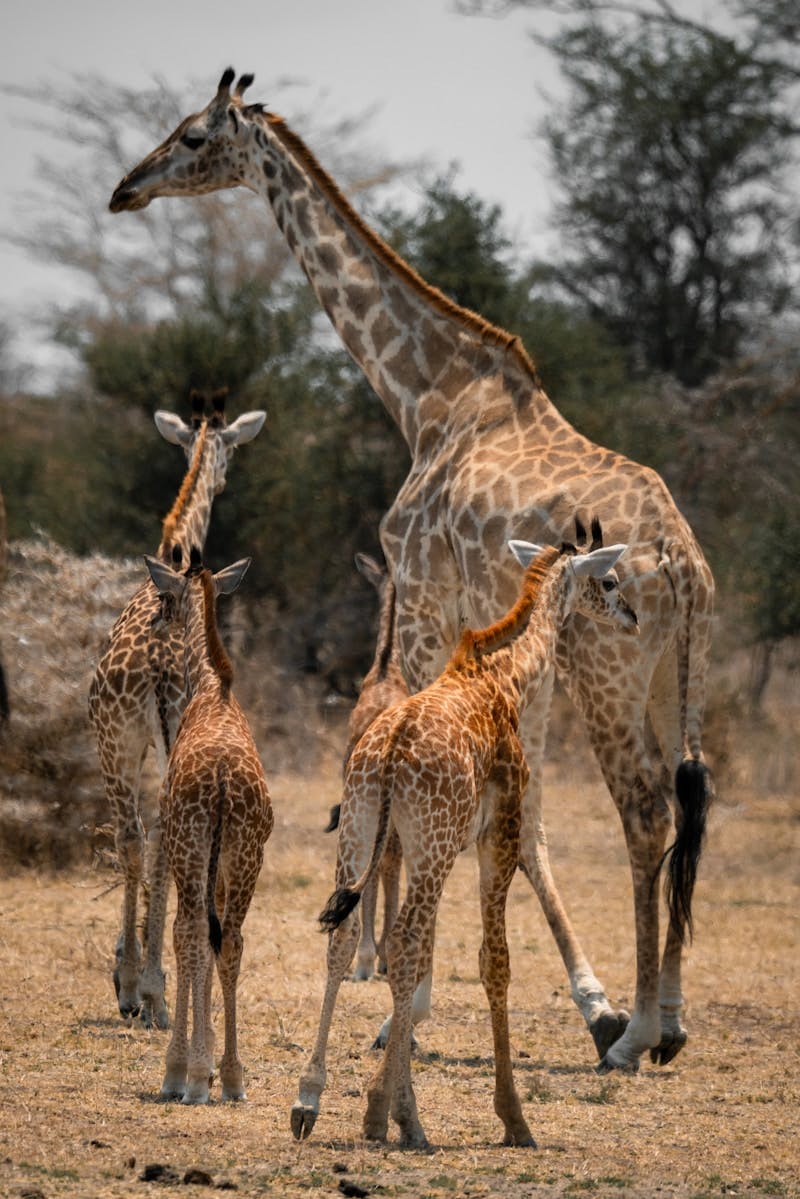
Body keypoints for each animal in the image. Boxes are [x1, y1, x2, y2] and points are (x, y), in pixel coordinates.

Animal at [86, 388, 263, 1026]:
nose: (227, 476)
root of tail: (156, 666)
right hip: (131, 743)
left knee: (138, 835)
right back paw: (148, 987)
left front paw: (132, 978)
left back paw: (140, 986)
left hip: (118, 742)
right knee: (149, 836)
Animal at [109, 70, 714, 1074]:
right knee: (690, 797)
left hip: (609, 669)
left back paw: (637, 1034)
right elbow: (524, 815)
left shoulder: (429, 603)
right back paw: (662, 1018)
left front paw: (408, 999)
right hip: (673, 668)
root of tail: (682, 557)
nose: (126, 189)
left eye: (193, 137)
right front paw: (577, 1000)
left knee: (644, 810)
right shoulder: (499, 636)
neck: (425, 395)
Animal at [292, 520, 638, 1146]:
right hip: (427, 845)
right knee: (402, 943)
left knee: (347, 937)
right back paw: (409, 1120)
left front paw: (376, 1104)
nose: (632, 617)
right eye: (610, 579)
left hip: (361, 834)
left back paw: (309, 1100)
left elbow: (427, 958)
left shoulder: (446, 844)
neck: (509, 675)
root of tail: (389, 755)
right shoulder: (496, 834)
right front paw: (513, 1116)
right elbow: (493, 962)